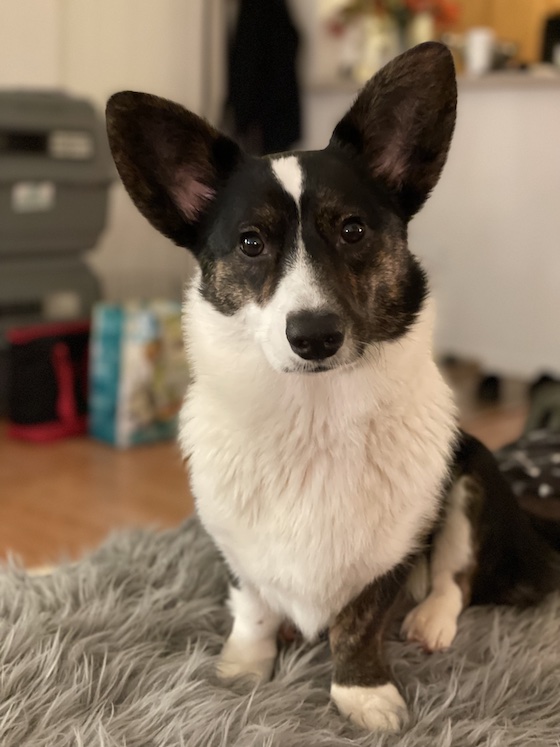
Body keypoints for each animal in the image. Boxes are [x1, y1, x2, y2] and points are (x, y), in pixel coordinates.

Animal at [106, 43, 560, 732]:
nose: (315, 336)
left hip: (473, 467)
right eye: (250, 243)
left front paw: (362, 695)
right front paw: (243, 671)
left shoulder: (391, 552)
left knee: (456, 575)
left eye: (352, 230)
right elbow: (252, 606)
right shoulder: (237, 546)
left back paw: (429, 621)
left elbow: (359, 623)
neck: (310, 414)